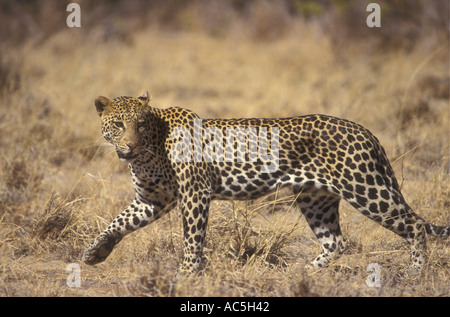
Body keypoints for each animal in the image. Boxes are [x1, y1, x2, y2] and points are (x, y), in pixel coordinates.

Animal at [82, 91, 448, 274]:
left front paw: (186, 275)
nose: (130, 145)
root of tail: (365, 130)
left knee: (414, 224)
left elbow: (192, 240)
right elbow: (118, 222)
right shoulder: (152, 200)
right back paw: (302, 273)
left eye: (140, 124)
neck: (150, 150)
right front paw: (95, 252)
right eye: (118, 125)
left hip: (365, 188)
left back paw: (417, 272)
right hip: (315, 198)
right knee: (335, 241)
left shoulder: (195, 195)